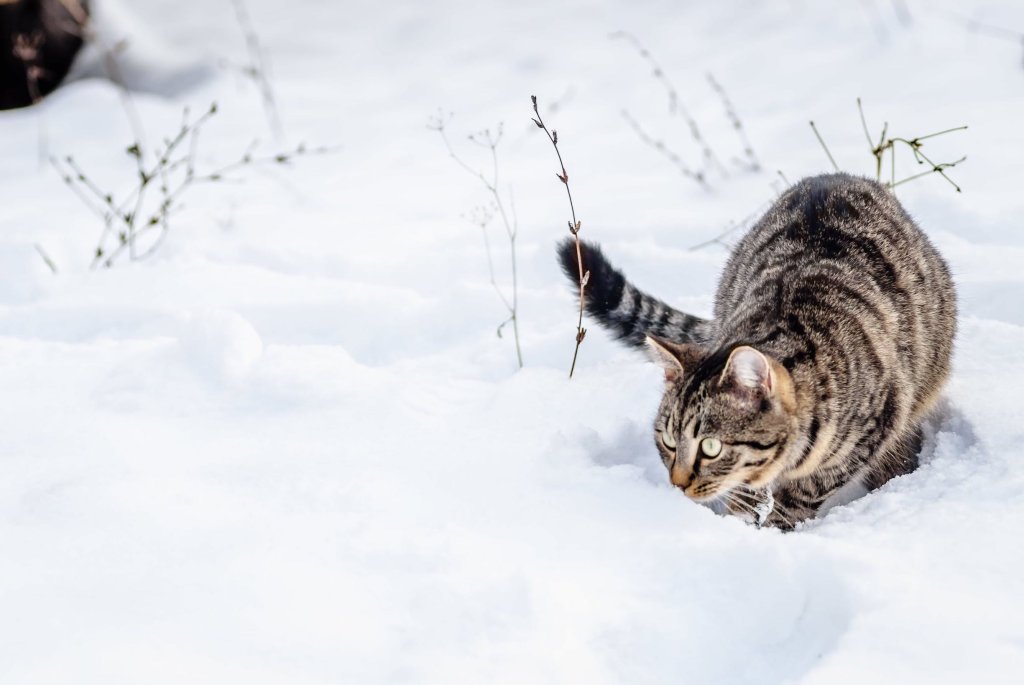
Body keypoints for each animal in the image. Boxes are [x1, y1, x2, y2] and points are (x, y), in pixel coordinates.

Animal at [557, 172, 954, 528]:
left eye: (711, 447)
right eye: (668, 440)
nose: (678, 485)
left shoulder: (880, 418)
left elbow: (809, 488)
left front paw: (776, 525)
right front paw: (741, 522)